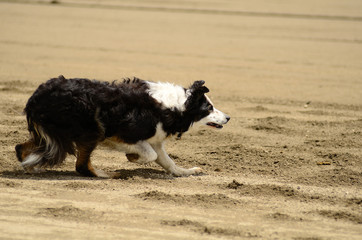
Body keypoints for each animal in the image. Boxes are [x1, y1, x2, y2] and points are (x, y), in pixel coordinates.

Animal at [14, 76, 229, 177]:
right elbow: (150, 154)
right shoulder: (123, 134)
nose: (227, 117)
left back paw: (30, 168)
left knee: (20, 149)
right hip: (92, 128)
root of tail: (36, 98)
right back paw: (105, 174)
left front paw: (187, 171)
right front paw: (133, 157)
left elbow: (167, 161)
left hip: (52, 133)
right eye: (209, 108)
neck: (176, 105)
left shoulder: (156, 138)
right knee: (81, 166)